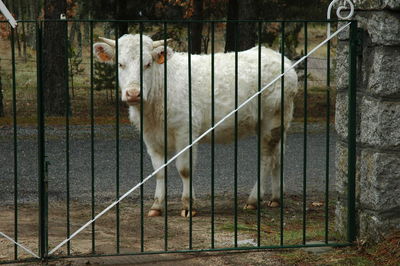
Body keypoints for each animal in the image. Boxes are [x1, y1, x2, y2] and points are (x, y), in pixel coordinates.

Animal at [94, 34, 298, 217]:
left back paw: (253, 200)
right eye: (120, 64)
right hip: (280, 121)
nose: (133, 93)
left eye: (148, 64)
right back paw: (276, 198)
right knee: (279, 156)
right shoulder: (150, 136)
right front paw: (157, 206)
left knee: (266, 159)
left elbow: (184, 169)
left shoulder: (185, 131)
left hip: (270, 121)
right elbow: (159, 171)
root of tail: (281, 60)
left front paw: (187, 205)